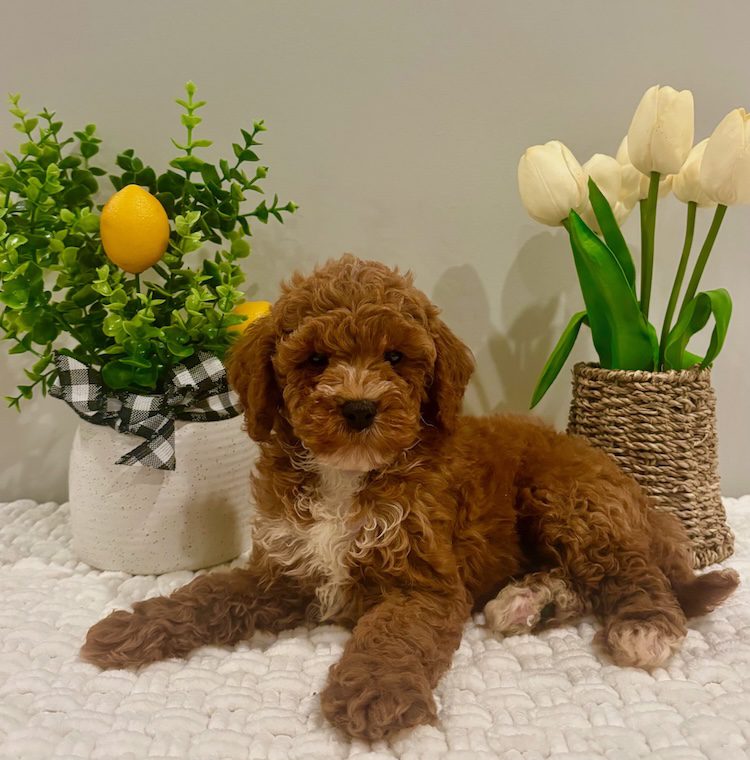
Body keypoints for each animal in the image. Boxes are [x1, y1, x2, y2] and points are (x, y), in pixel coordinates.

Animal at [82, 254, 739, 741]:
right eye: (315, 359)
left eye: (396, 357)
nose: (358, 408)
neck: (347, 476)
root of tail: (635, 494)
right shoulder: (281, 570)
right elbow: (207, 595)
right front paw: (131, 629)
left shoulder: (422, 584)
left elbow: (393, 636)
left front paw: (375, 691)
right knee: (583, 577)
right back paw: (526, 602)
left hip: (566, 498)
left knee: (628, 571)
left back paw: (644, 627)